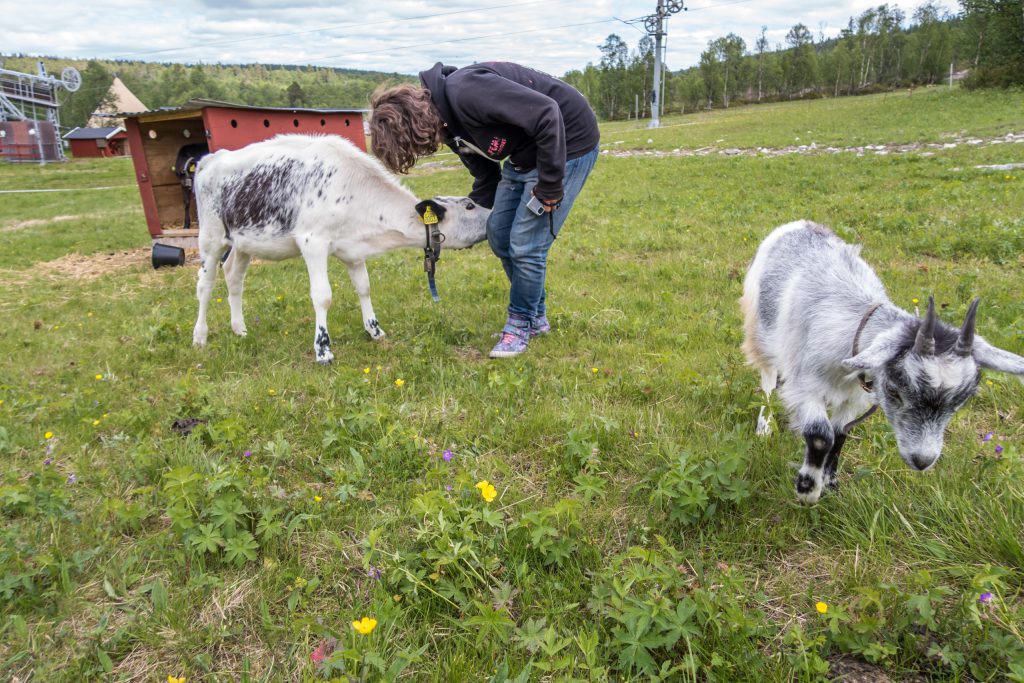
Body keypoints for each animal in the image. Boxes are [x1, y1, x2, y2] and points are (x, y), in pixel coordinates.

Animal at [191, 133, 487, 362]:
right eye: (470, 205)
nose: (493, 214)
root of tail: (212, 158)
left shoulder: (352, 250)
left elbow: (364, 287)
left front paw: (375, 331)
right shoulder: (312, 241)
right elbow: (322, 295)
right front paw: (323, 349)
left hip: (242, 242)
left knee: (234, 277)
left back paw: (239, 329)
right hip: (211, 237)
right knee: (205, 285)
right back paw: (200, 336)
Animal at [745, 222, 1024, 505]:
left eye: (961, 401)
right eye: (894, 391)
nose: (922, 460)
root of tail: (800, 224)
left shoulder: (854, 394)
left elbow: (840, 433)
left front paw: (831, 483)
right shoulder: (805, 385)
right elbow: (822, 435)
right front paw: (808, 491)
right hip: (760, 328)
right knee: (768, 379)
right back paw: (764, 426)